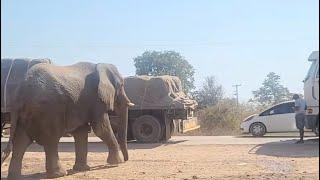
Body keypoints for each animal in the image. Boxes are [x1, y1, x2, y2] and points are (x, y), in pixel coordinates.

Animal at [0, 61, 133, 179]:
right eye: (122, 85)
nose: (127, 160)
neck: (100, 65)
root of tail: (20, 92)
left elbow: (81, 132)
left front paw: (82, 169)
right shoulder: (96, 100)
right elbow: (101, 129)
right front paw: (116, 163)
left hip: (24, 114)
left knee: (21, 142)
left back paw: (15, 177)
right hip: (47, 110)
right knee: (51, 140)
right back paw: (60, 174)